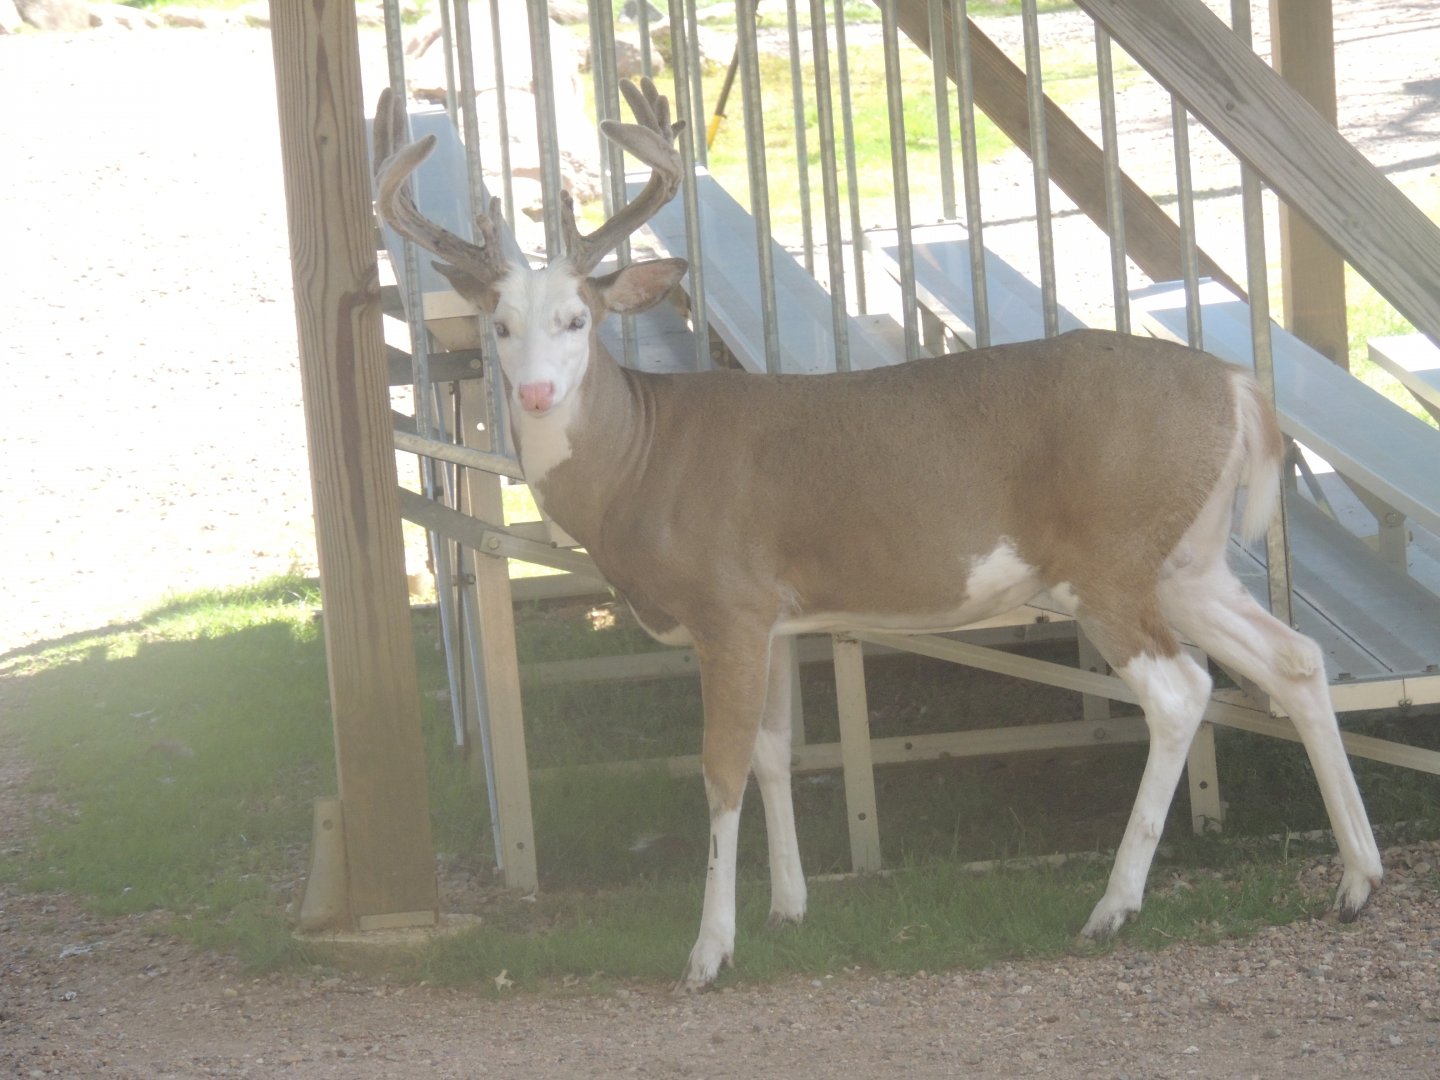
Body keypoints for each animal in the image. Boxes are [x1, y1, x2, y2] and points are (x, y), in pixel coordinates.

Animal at [373, 78, 1382, 992]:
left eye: (577, 319)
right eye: (501, 326)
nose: (540, 393)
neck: (641, 464)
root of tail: (1240, 387)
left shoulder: (727, 604)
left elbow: (721, 769)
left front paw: (708, 952)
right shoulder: (775, 618)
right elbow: (776, 754)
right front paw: (787, 909)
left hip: (1110, 557)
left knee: (1181, 692)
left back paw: (1113, 905)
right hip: (1186, 559)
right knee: (1295, 658)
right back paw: (1358, 880)